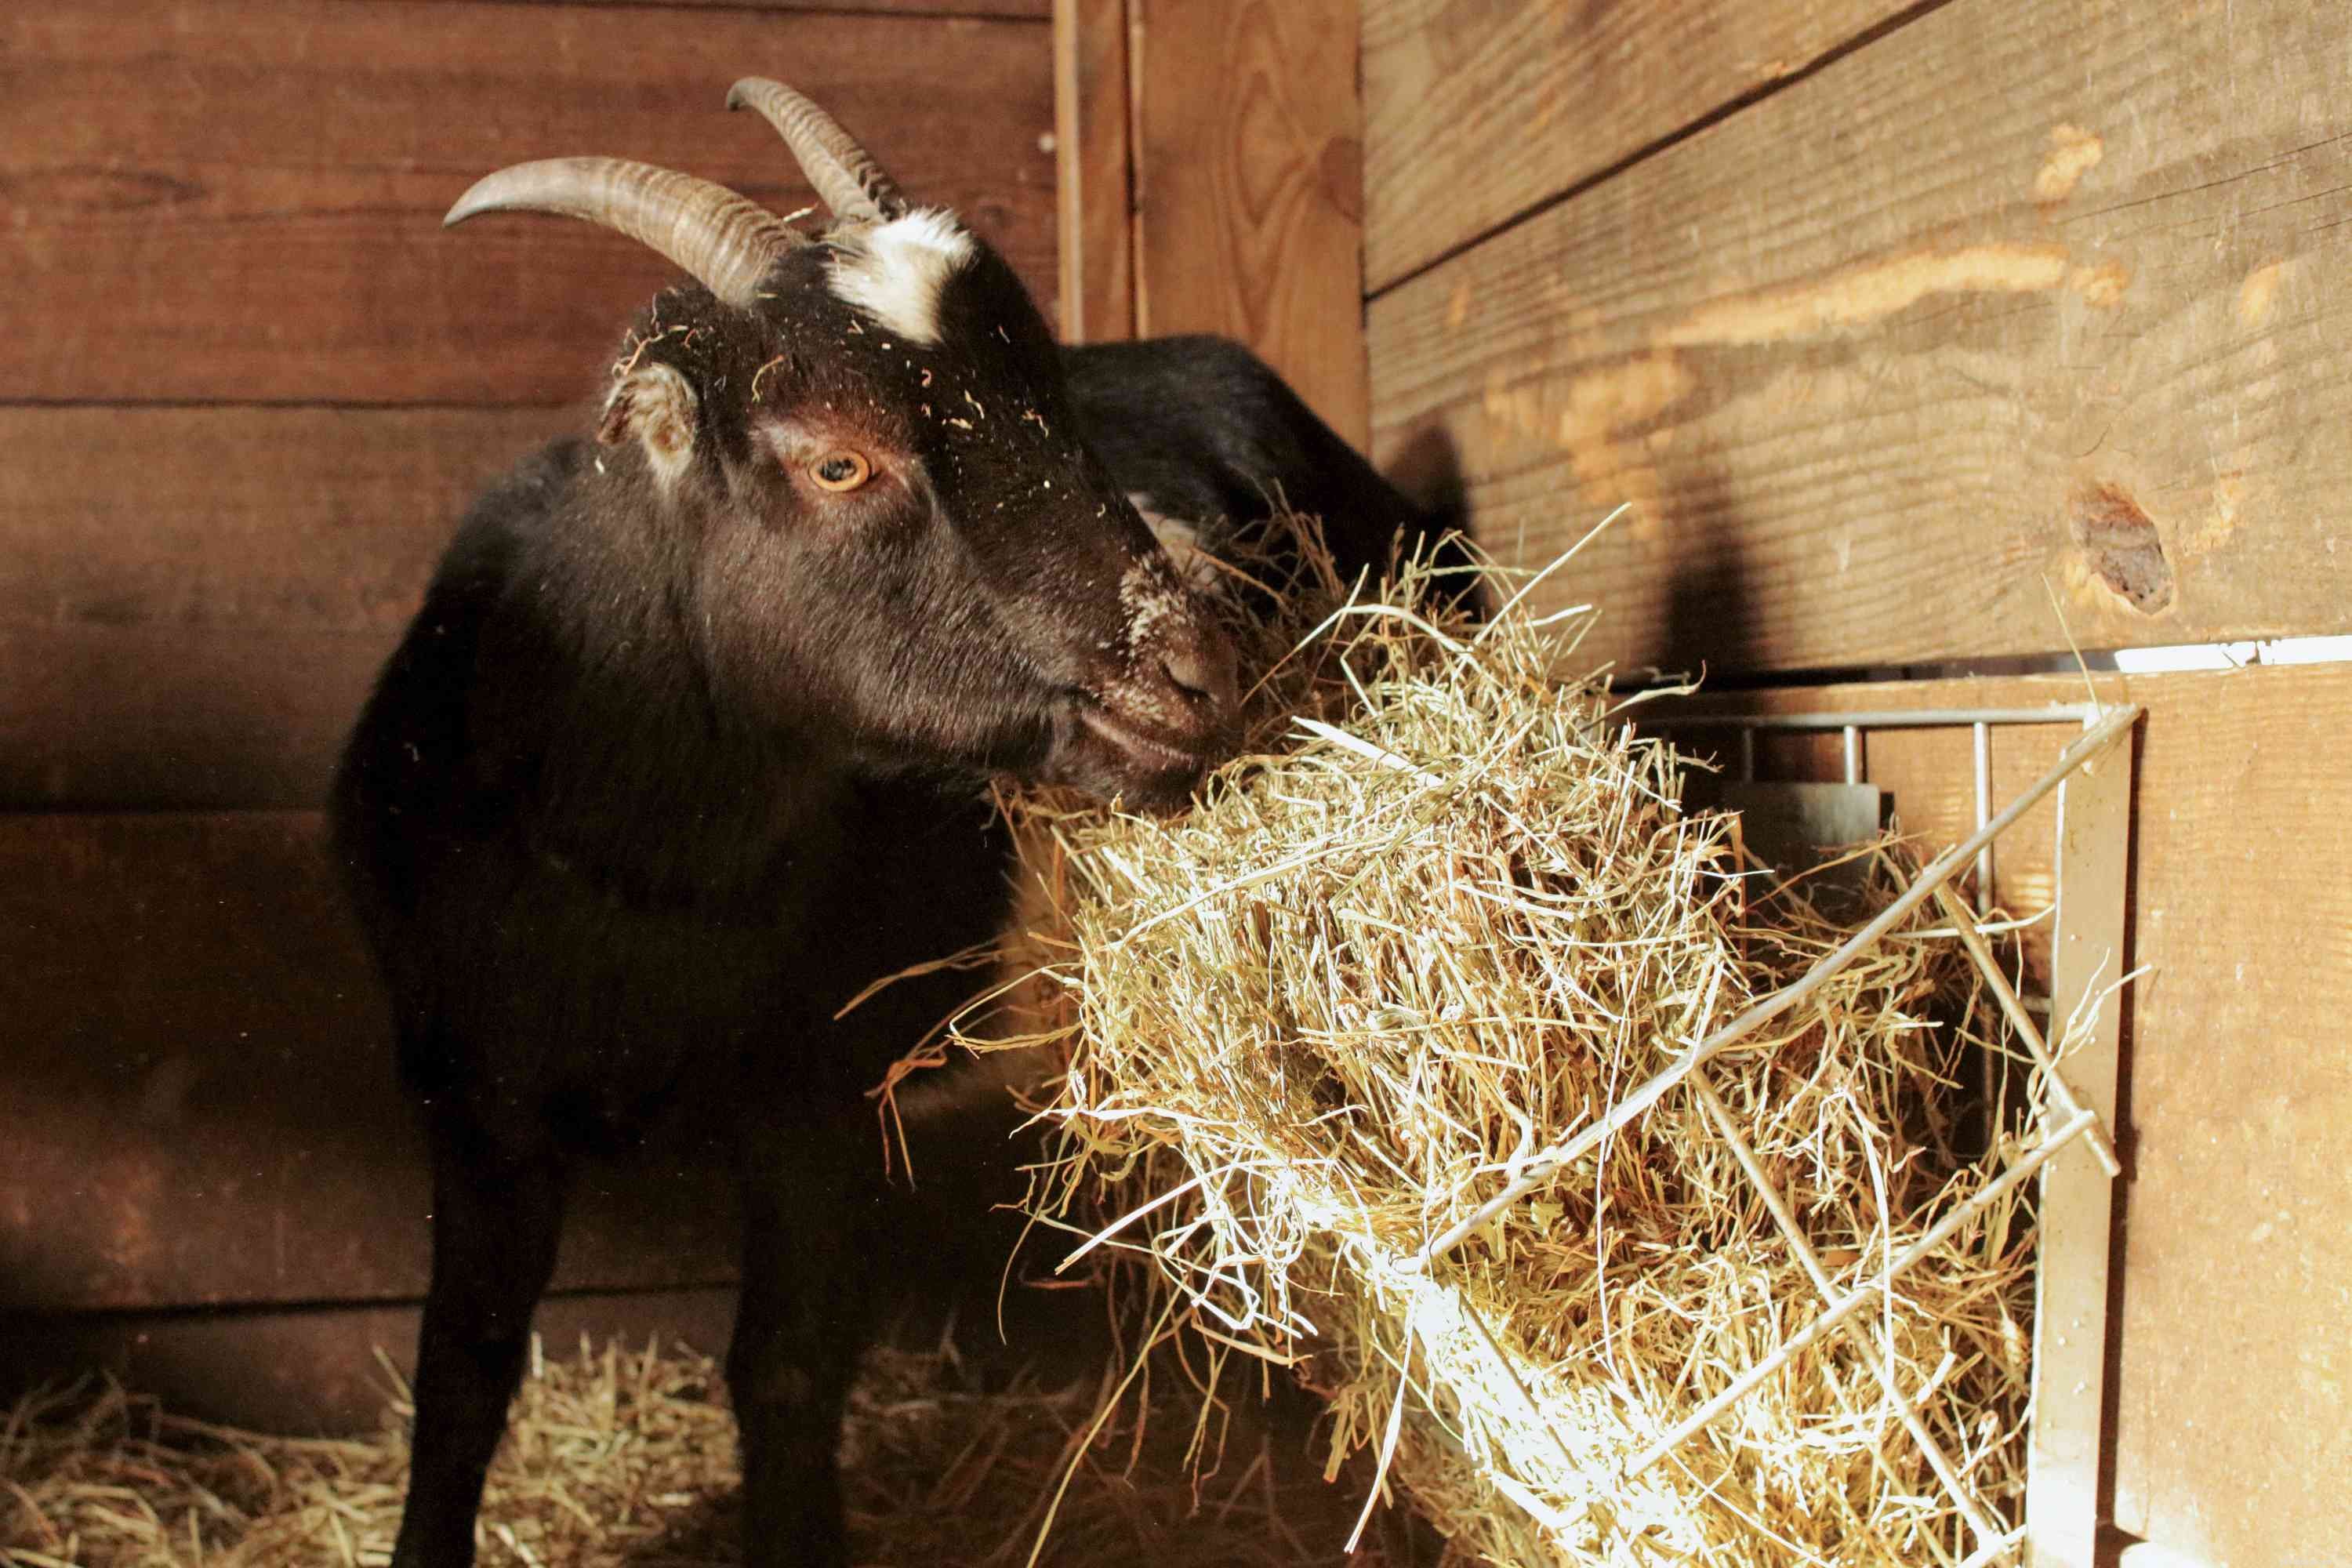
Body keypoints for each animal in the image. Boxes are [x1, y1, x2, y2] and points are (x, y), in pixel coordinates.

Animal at [334, 79, 1447, 1568]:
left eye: (1054, 410)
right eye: (837, 462)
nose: (1193, 674)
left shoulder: (818, 1089)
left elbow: (786, 1369)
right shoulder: (473, 1091)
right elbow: (462, 1372)